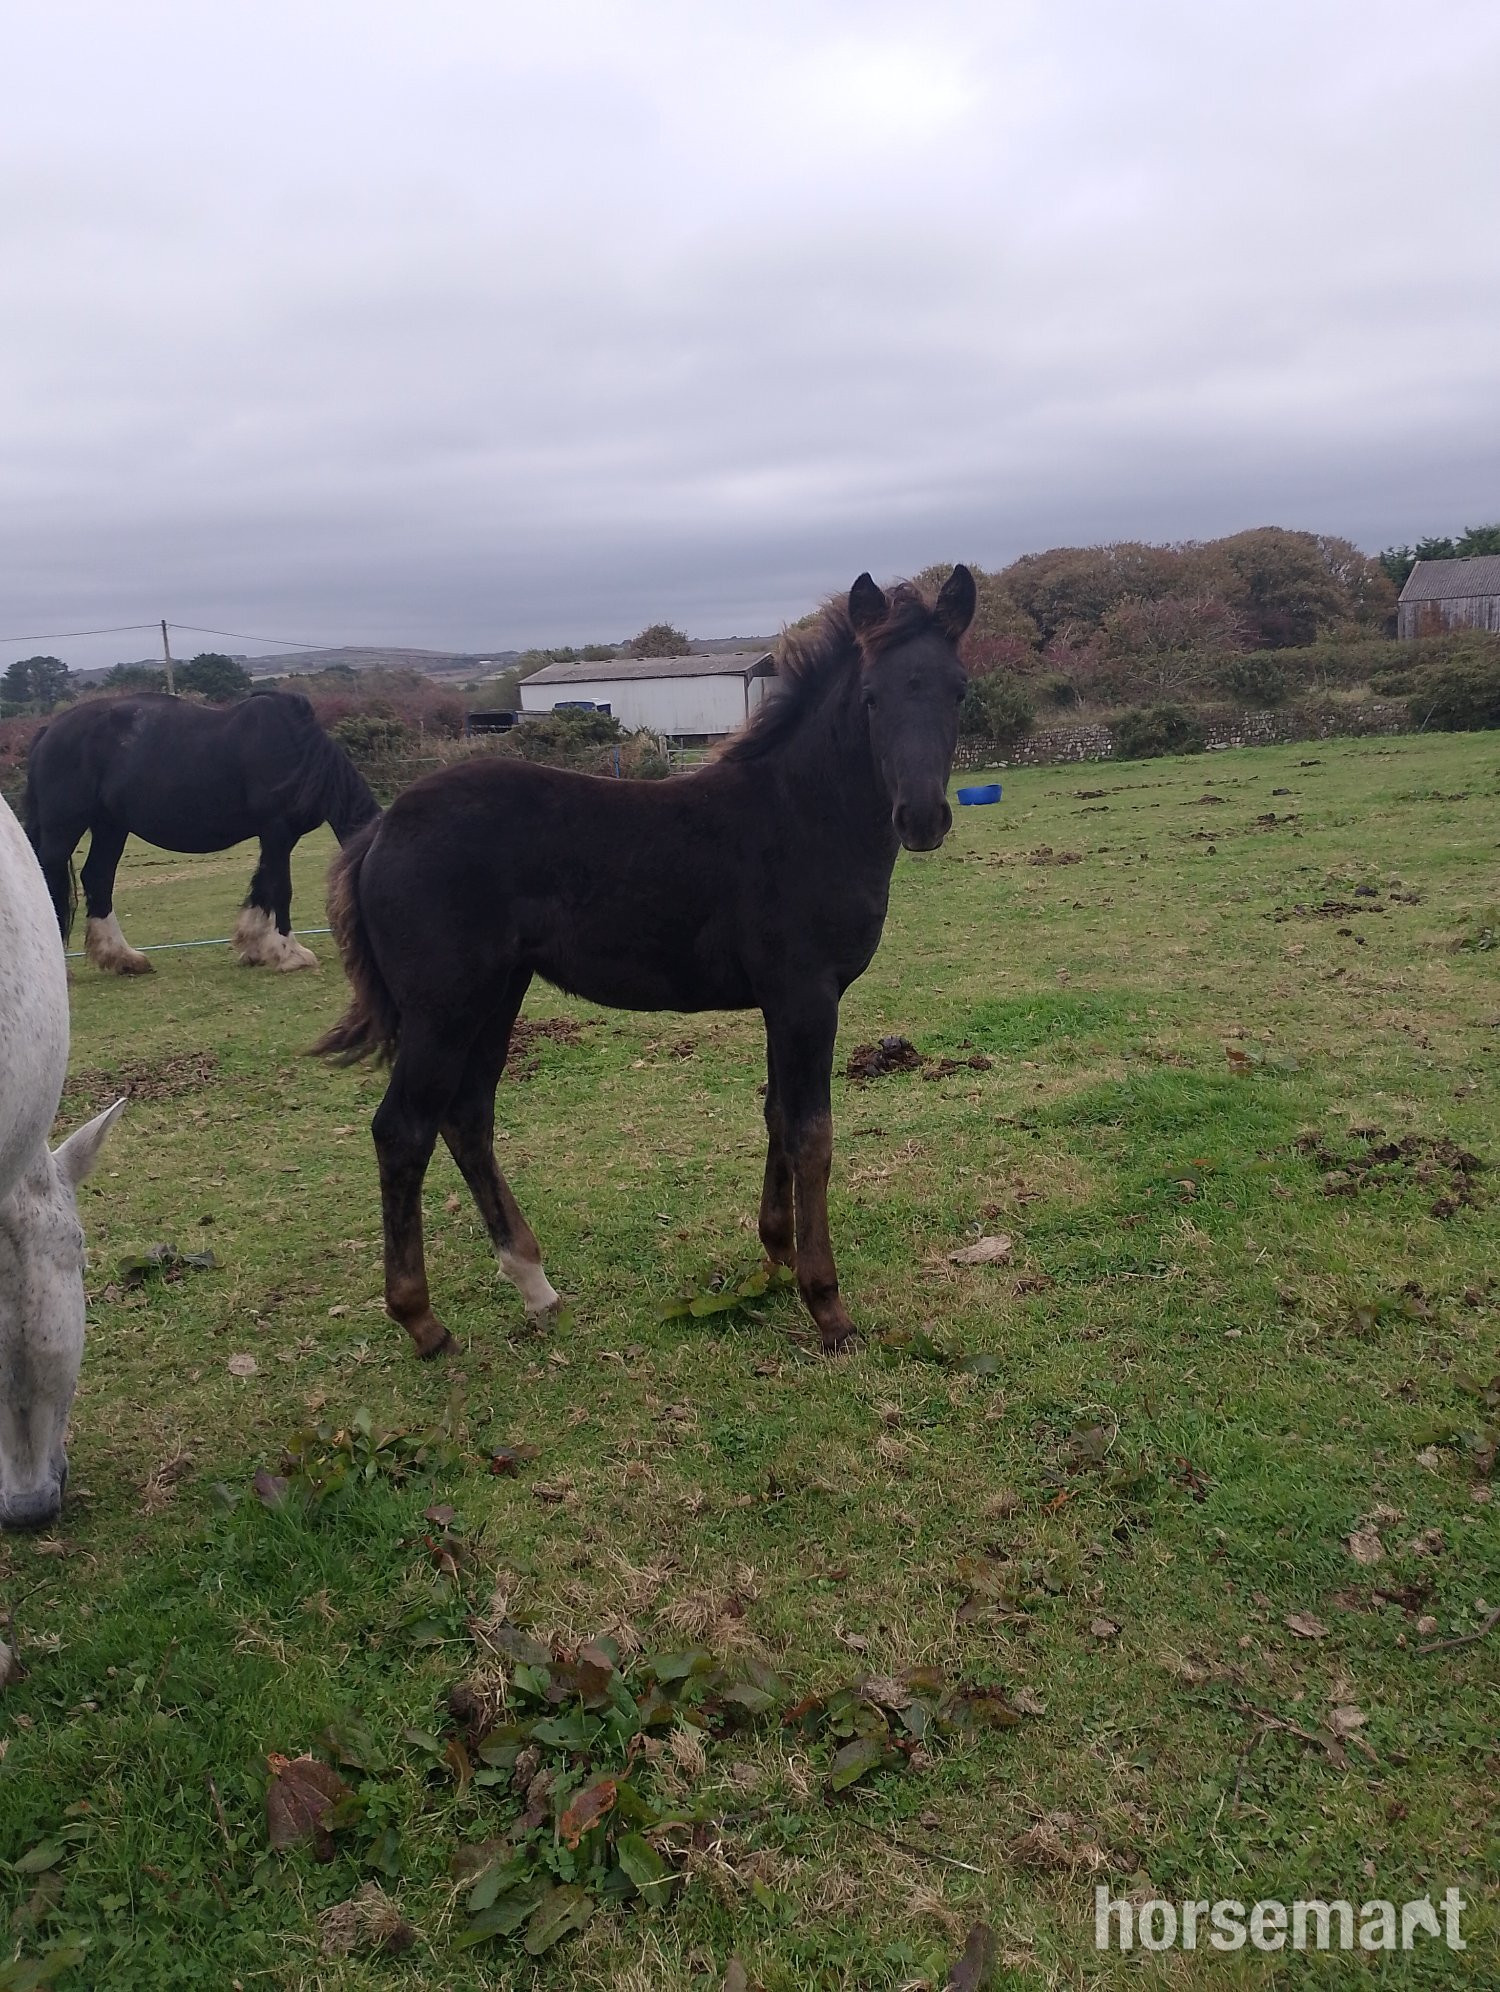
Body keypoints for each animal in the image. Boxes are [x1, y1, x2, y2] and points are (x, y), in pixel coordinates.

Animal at [24, 689, 380, 974]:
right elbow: (281, 889)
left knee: (98, 878)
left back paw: (125, 958)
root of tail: (49, 730)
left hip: (110, 826)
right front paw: (290, 954)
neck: (298, 750)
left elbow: (262, 886)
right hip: (65, 828)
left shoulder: (280, 837)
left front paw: (255, 948)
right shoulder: (276, 831)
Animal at [315, 565, 976, 1358]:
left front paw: (777, 1252)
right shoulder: (807, 996)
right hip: (443, 1005)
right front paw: (827, 1305)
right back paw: (423, 1320)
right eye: (872, 695)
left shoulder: (782, 1002)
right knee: (402, 1130)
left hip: (497, 993)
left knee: (467, 1116)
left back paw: (536, 1287)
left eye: (959, 690)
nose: (922, 818)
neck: (801, 814)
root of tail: (381, 830)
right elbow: (811, 1133)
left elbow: (777, 1115)